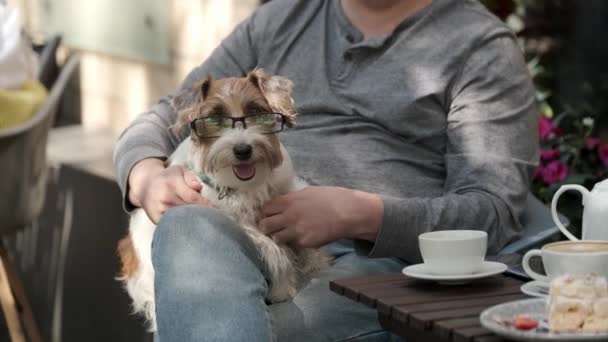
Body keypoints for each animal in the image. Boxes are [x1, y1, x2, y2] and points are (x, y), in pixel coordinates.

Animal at [117, 69, 330, 328]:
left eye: (256, 112)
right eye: (214, 120)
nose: (243, 150)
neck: (248, 183)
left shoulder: (287, 188)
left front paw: (313, 259)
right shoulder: (233, 218)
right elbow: (272, 249)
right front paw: (282, 286)